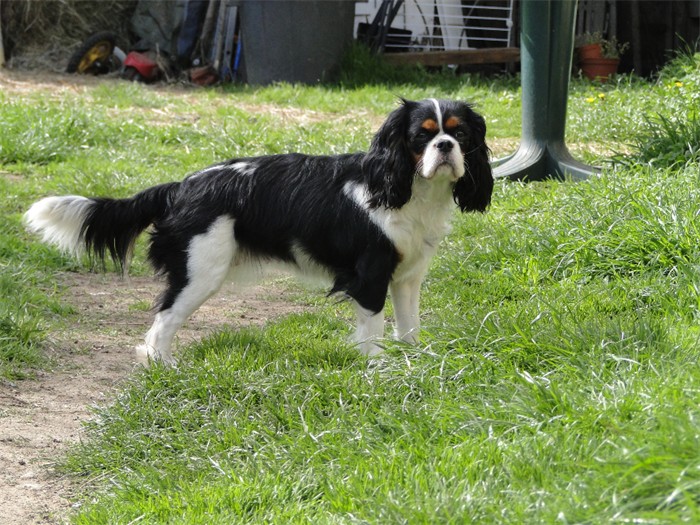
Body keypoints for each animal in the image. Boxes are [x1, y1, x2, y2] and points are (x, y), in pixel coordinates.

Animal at [21, 98, 492, 362]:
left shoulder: (407, 277)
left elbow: (409, 328)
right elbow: (373, 332)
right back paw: (162, 366)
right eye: (421, 136)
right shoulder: (370, 277)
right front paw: (376, 370)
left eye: (460, 134)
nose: (445, 147)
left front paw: (415, 364)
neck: (407, 188)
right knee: (163, 321)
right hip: (200, 272)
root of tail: (183, 185)